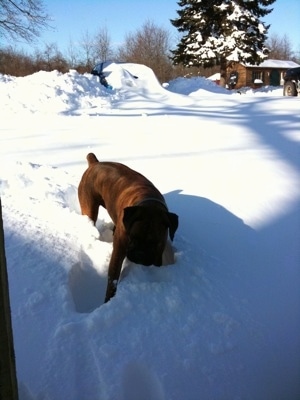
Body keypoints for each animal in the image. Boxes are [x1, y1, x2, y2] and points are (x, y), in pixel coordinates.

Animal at [78, 154, 179, 304]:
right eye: (133, 237)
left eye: (154, 242)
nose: (140, 255)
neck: (149, 202)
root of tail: (94, 163)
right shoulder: (118, 252)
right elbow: (112, 280)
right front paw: (108, 301)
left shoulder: (158, 253)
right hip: (89, 209)